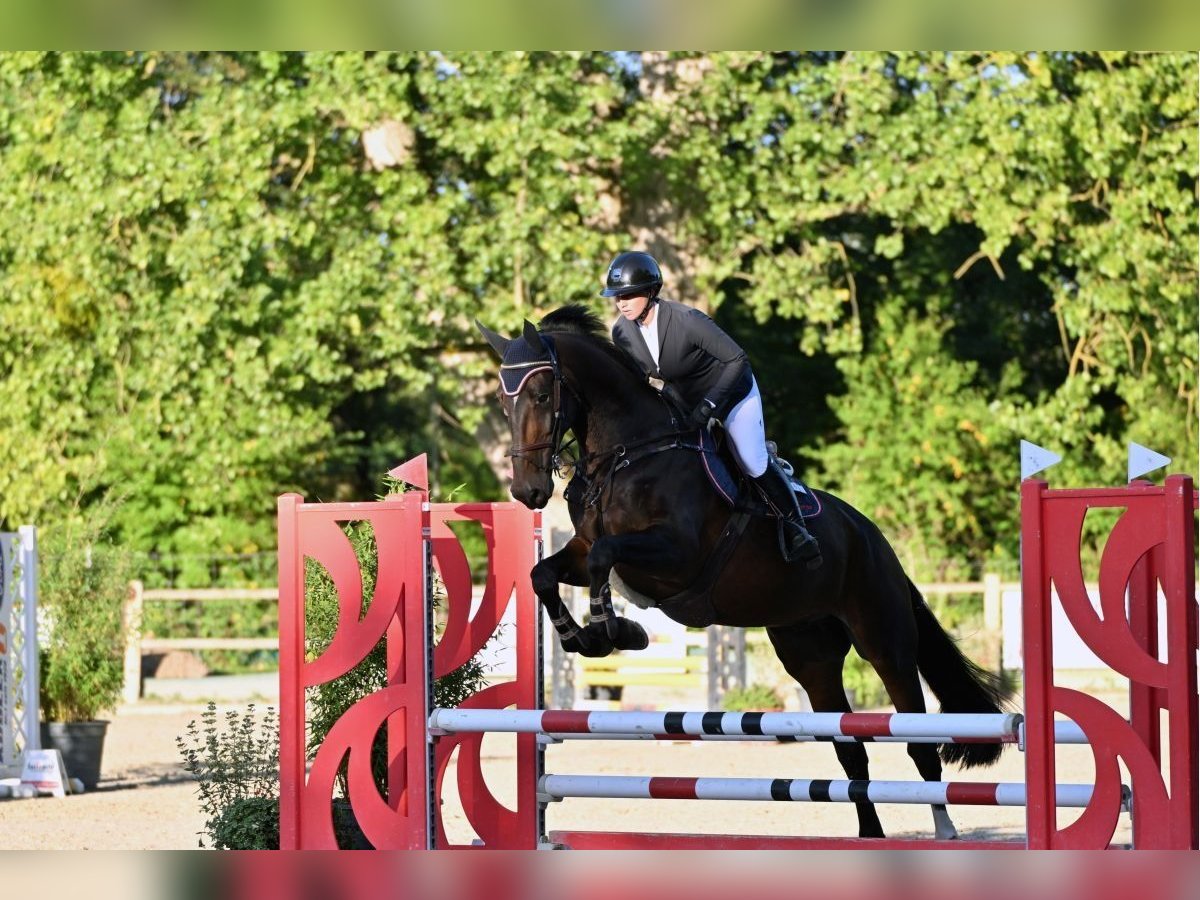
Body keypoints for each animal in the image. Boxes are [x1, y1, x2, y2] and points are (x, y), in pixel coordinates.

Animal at [476, 304, 1011, 841]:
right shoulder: (585, 549)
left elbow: (603, 557)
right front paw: (581, 637)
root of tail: (875, 539)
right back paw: (870, 837)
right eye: (503, 401)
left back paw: (944, 830)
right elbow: (545, 574)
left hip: (884, 642)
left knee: (919, 743)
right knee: (850, 750)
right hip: (810, 655)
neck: (628, 455)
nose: (527, 492)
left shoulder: (675, 555)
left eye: (542, 395)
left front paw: (615, 631)